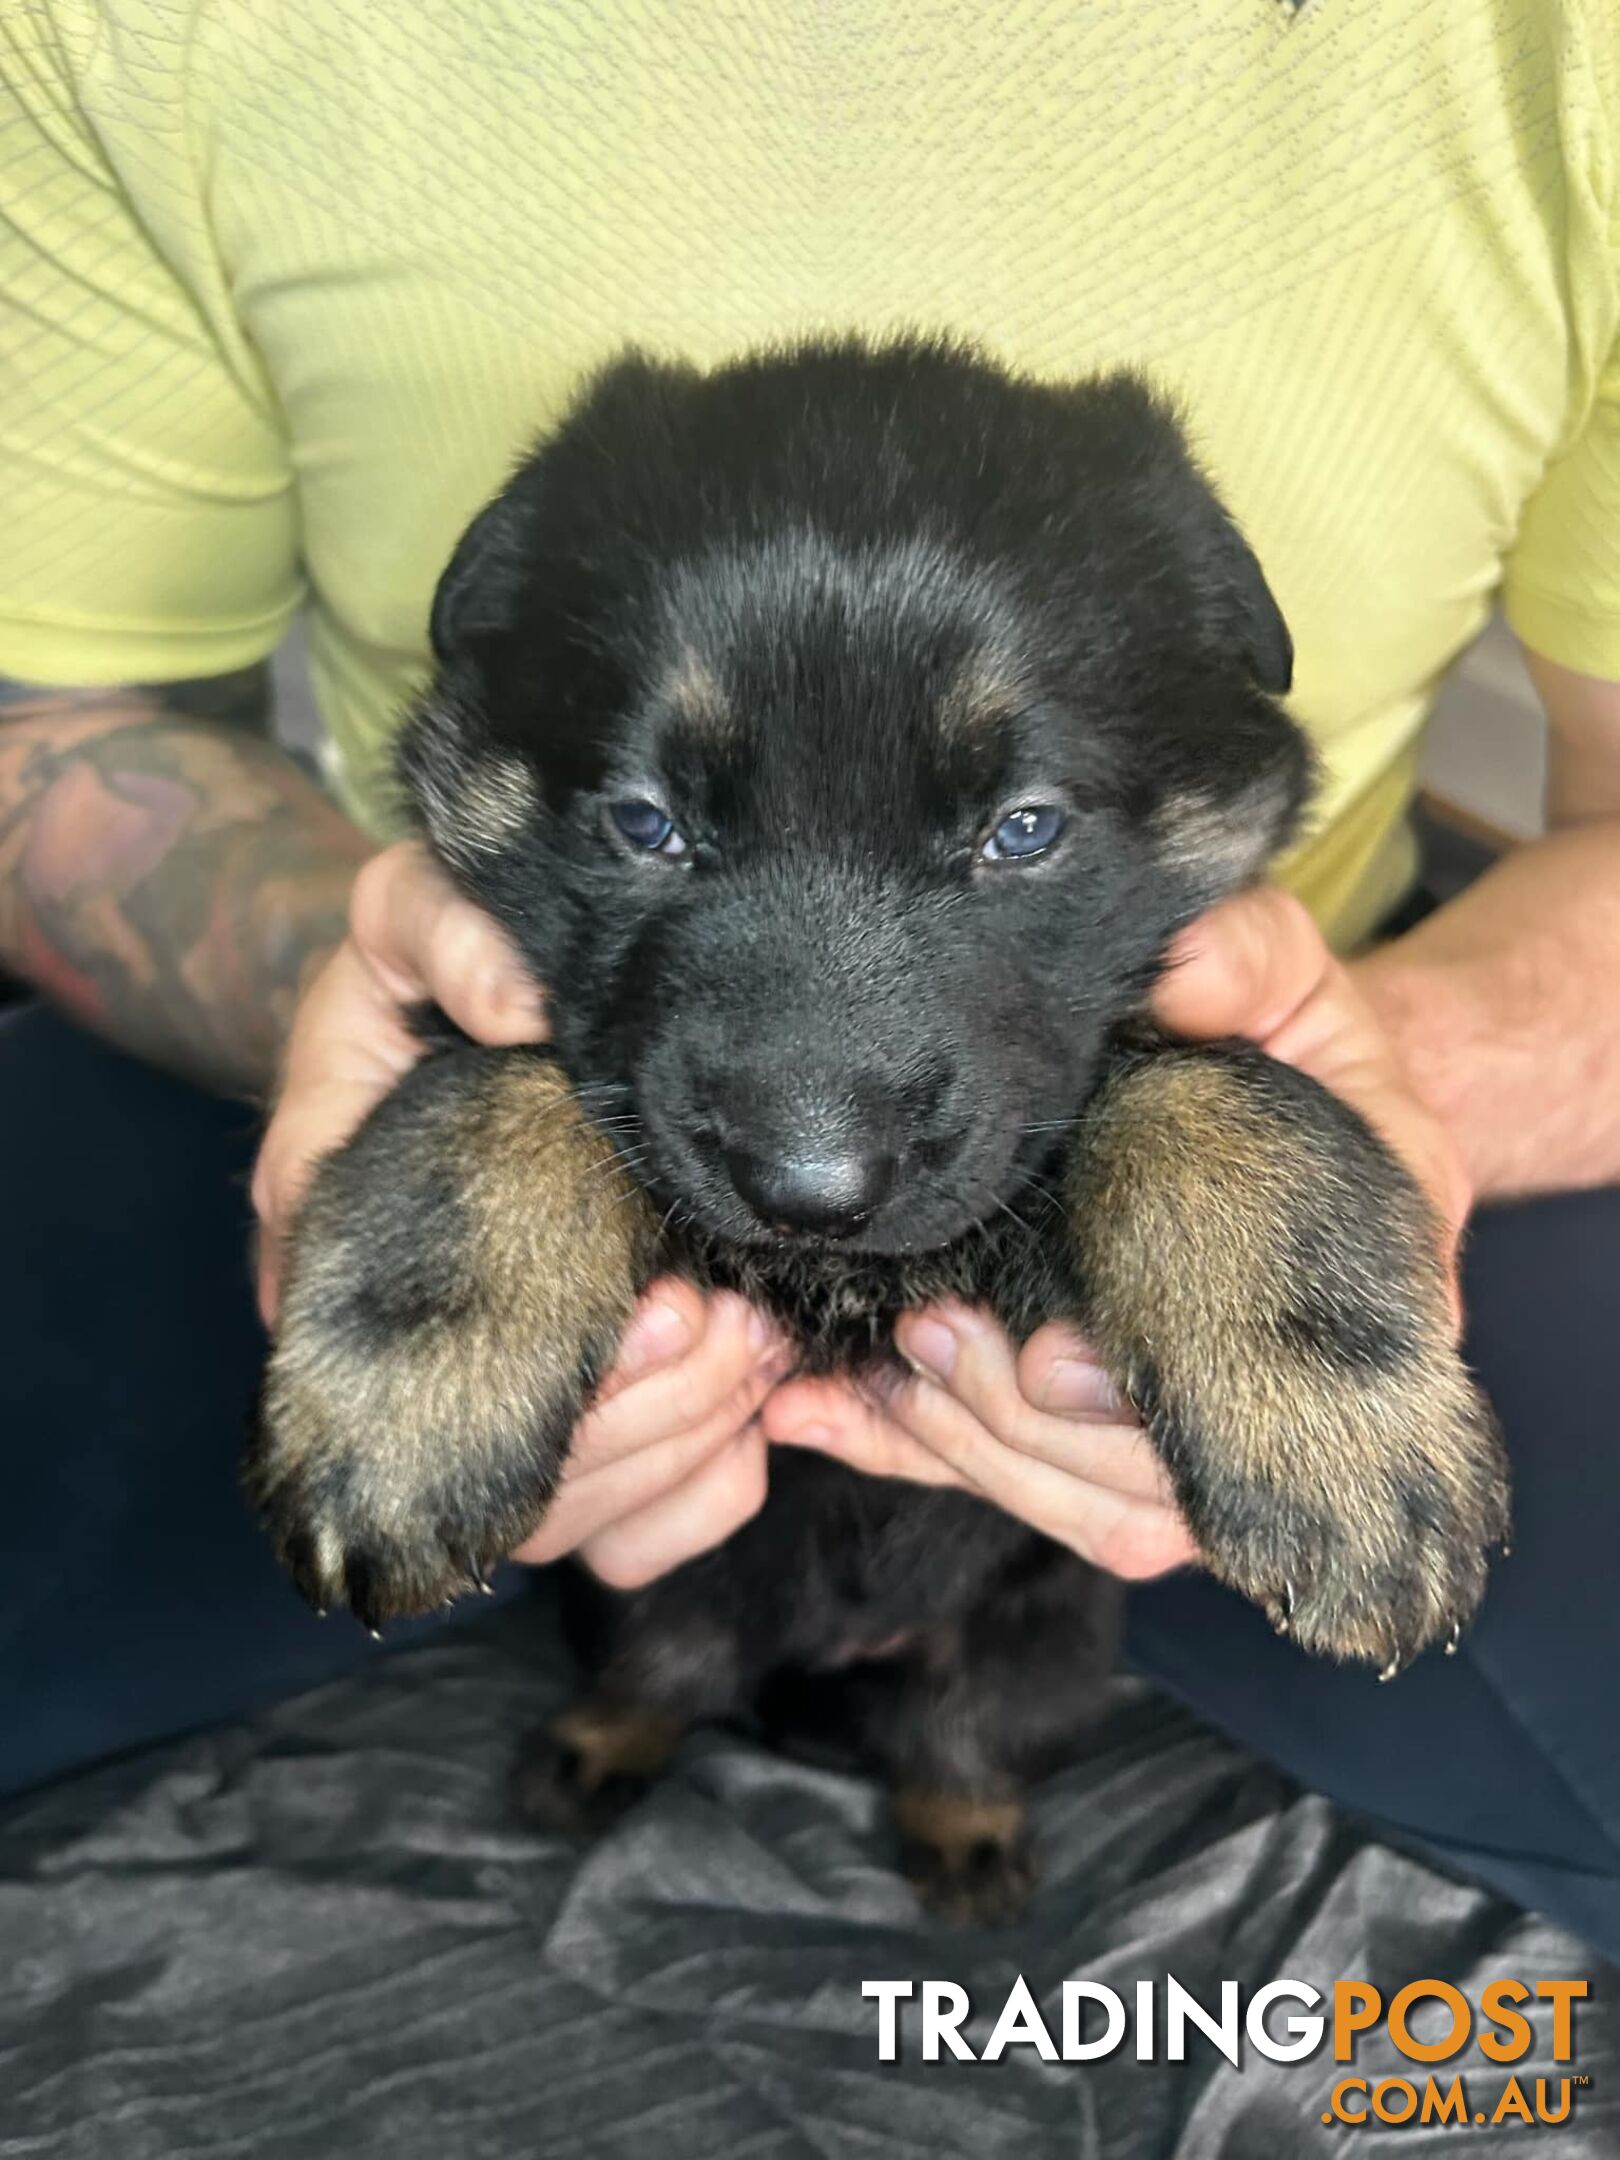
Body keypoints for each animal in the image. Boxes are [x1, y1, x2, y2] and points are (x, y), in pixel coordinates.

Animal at [247, 332, 1520, 1926]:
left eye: (1023, 830)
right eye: (644, 823)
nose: (809, 1190)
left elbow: (1213, 1090)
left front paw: (1341, 1426)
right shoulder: (514, 1016)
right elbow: (493, 1088)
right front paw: (410, 1391)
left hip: (1048, 1635)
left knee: (959, 1730)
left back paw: (966, 1842)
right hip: (643, 1584)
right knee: (669, 1667)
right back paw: (593, 1754)